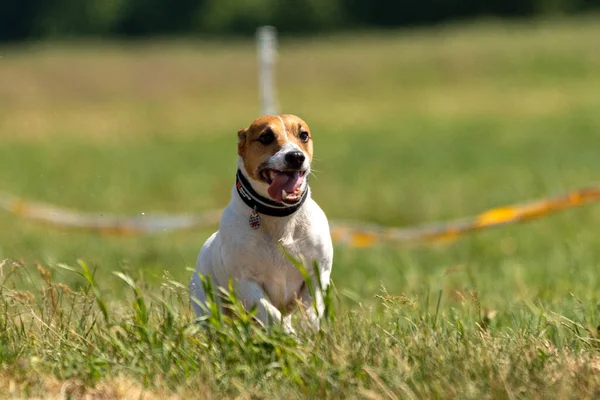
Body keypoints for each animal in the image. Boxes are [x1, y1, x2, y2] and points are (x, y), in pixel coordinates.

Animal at [190, 115, 332, 332]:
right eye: (265, 137)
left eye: (303, 135)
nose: (295, 156)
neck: (279, 217)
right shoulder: (245, 280)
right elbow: (271, 313)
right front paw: (288, 333)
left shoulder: (317, 274)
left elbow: (311, 311)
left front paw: (307, 332)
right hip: (206, 300)